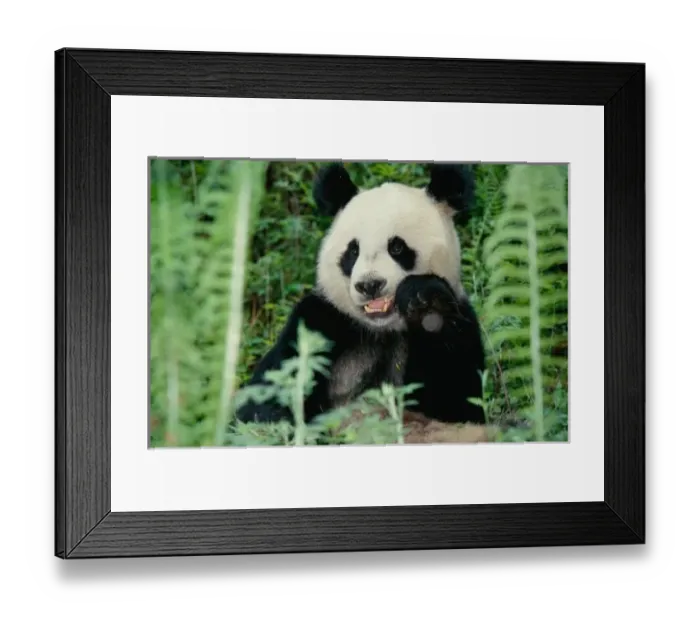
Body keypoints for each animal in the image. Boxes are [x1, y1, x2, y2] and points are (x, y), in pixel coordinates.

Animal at [236, 162, 486, 427]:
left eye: (397, 247)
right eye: (353, 251)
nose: (369, 285)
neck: (382, 330)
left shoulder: (461, 319)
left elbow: (458, 403)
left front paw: (424, 302)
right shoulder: (319, 319)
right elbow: (265, 401)